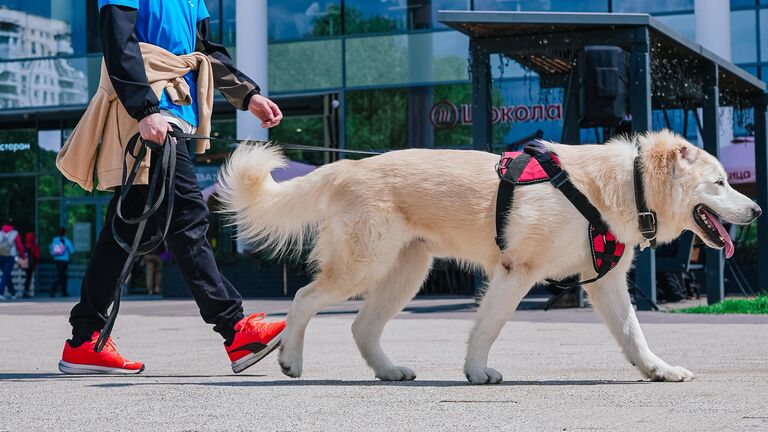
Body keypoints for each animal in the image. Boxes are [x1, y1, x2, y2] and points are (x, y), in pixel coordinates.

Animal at [218, 130, 760, 384]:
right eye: (720, 182)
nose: (756, 210)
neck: (625, 184)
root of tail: (343, 168)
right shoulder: (516, 272)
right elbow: (488, 327)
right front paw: (477, 371)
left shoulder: (606, 284)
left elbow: (634, 337)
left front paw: (658, 370)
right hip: (360, 266)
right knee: (304, 299)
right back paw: (289, 358)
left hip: (405, 273)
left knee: (362, 326)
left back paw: (389, 371)